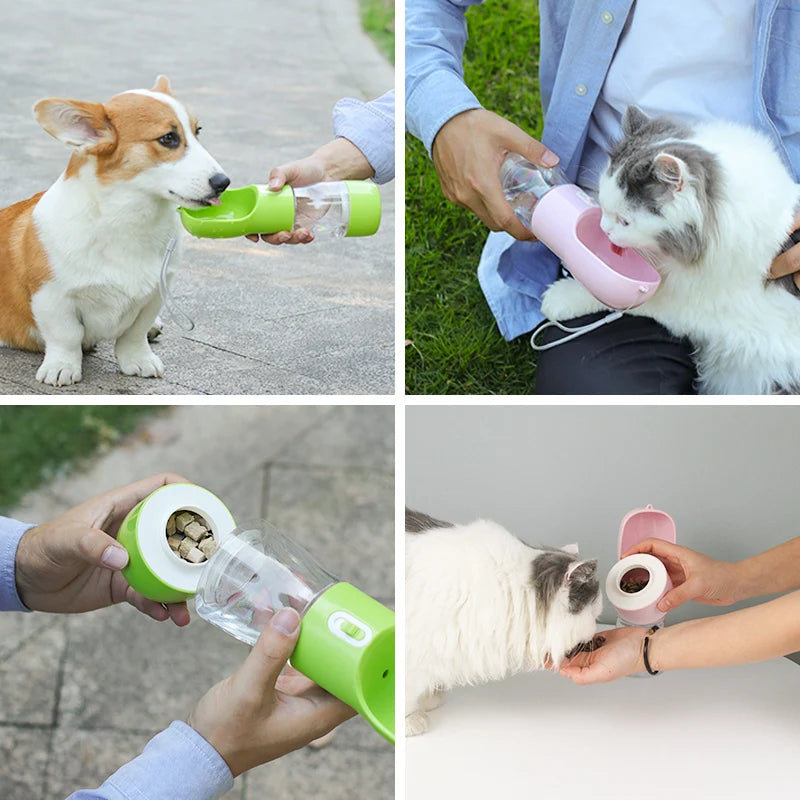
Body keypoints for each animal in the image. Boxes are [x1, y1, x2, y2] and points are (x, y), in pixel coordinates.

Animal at [1, 76, 230, 386]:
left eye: (198, 131)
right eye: (168, 139)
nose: (223, 182)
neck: (129, 221)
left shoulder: (154, 294)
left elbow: (133, 334)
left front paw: (139, 361)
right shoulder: (52, 296)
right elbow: (65, 336)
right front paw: (62, 367)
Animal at [540, 106, 800, 394]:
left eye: (625, 221)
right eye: (603, 204)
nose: (604, 229)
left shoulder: (692, 304)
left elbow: (622, 299)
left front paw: (558, 298)